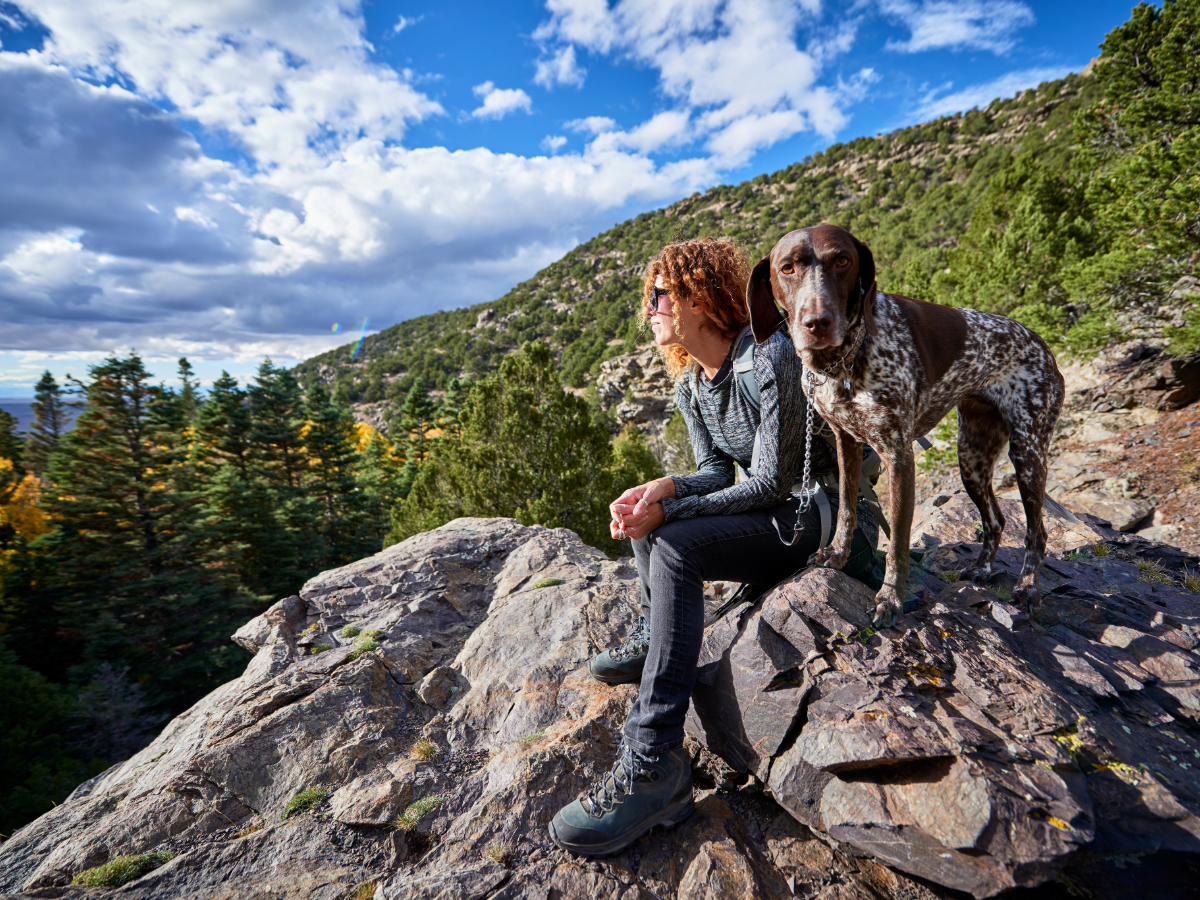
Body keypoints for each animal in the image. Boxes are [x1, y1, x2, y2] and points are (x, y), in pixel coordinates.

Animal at [744, 225, 1065, 628]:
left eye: (842, 261)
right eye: (787, 268)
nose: (817, 323)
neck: (843, 362)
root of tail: (1042, 345)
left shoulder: (898, 457)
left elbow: (897, 541)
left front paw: (890, 598)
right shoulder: (846, 444)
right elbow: (846, 509)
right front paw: (836, 555)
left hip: (1027, 454)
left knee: (1037, 532)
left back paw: (1027, 588)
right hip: (972, 458)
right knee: (995, 521)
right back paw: (982, 569)